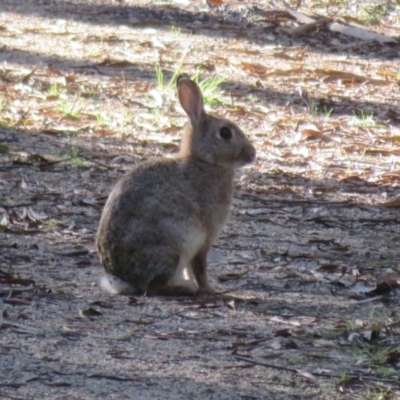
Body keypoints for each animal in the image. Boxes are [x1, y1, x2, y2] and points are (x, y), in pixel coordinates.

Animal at [95, 75, 255, 296]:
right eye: (225, 132)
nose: (252, 153)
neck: (204, 161)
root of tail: (123, 279)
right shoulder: (204, 237)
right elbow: (199, 267)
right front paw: (211, 290)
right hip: (175, 244)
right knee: (154, 285)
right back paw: (185, 286)